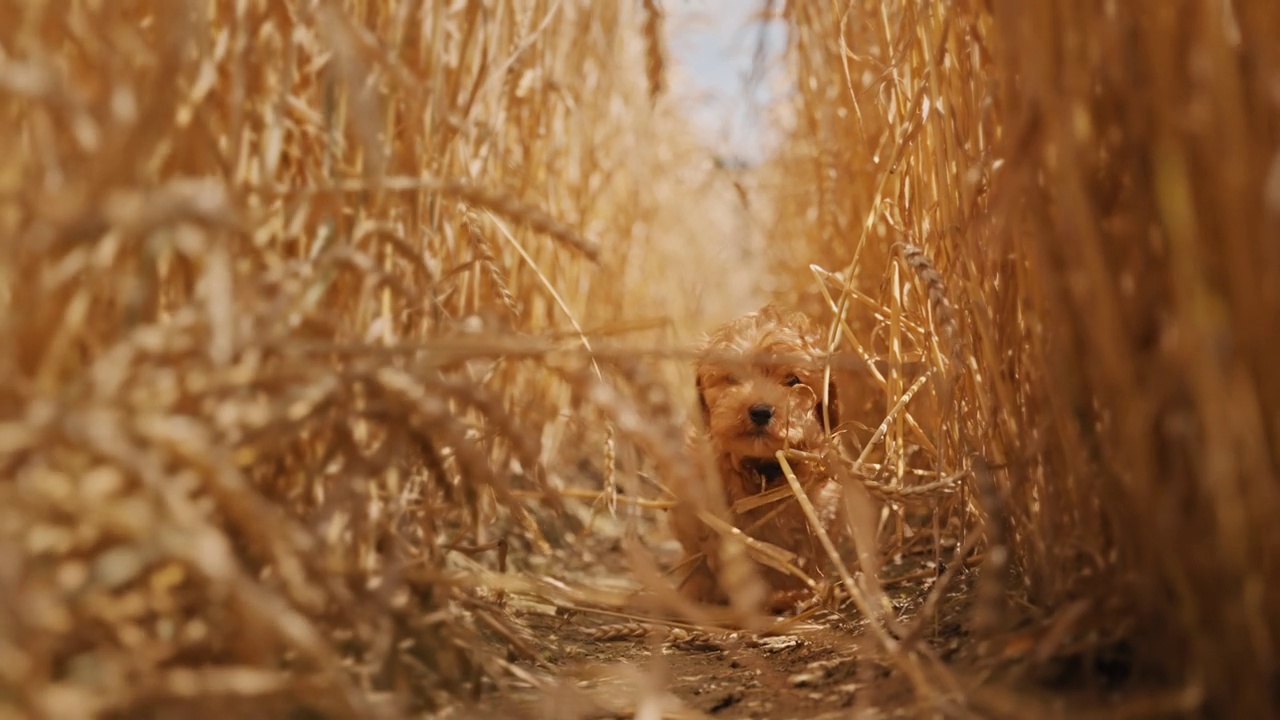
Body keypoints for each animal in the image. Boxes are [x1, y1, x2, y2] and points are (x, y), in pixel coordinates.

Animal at [675, 302, 844, 609]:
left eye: (793, 380)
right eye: (732, 378)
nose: (761, 411)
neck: (761, 470)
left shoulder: (821, 509)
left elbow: (808, 551)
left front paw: (798, 594)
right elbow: (706, 554)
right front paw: (698, 592)